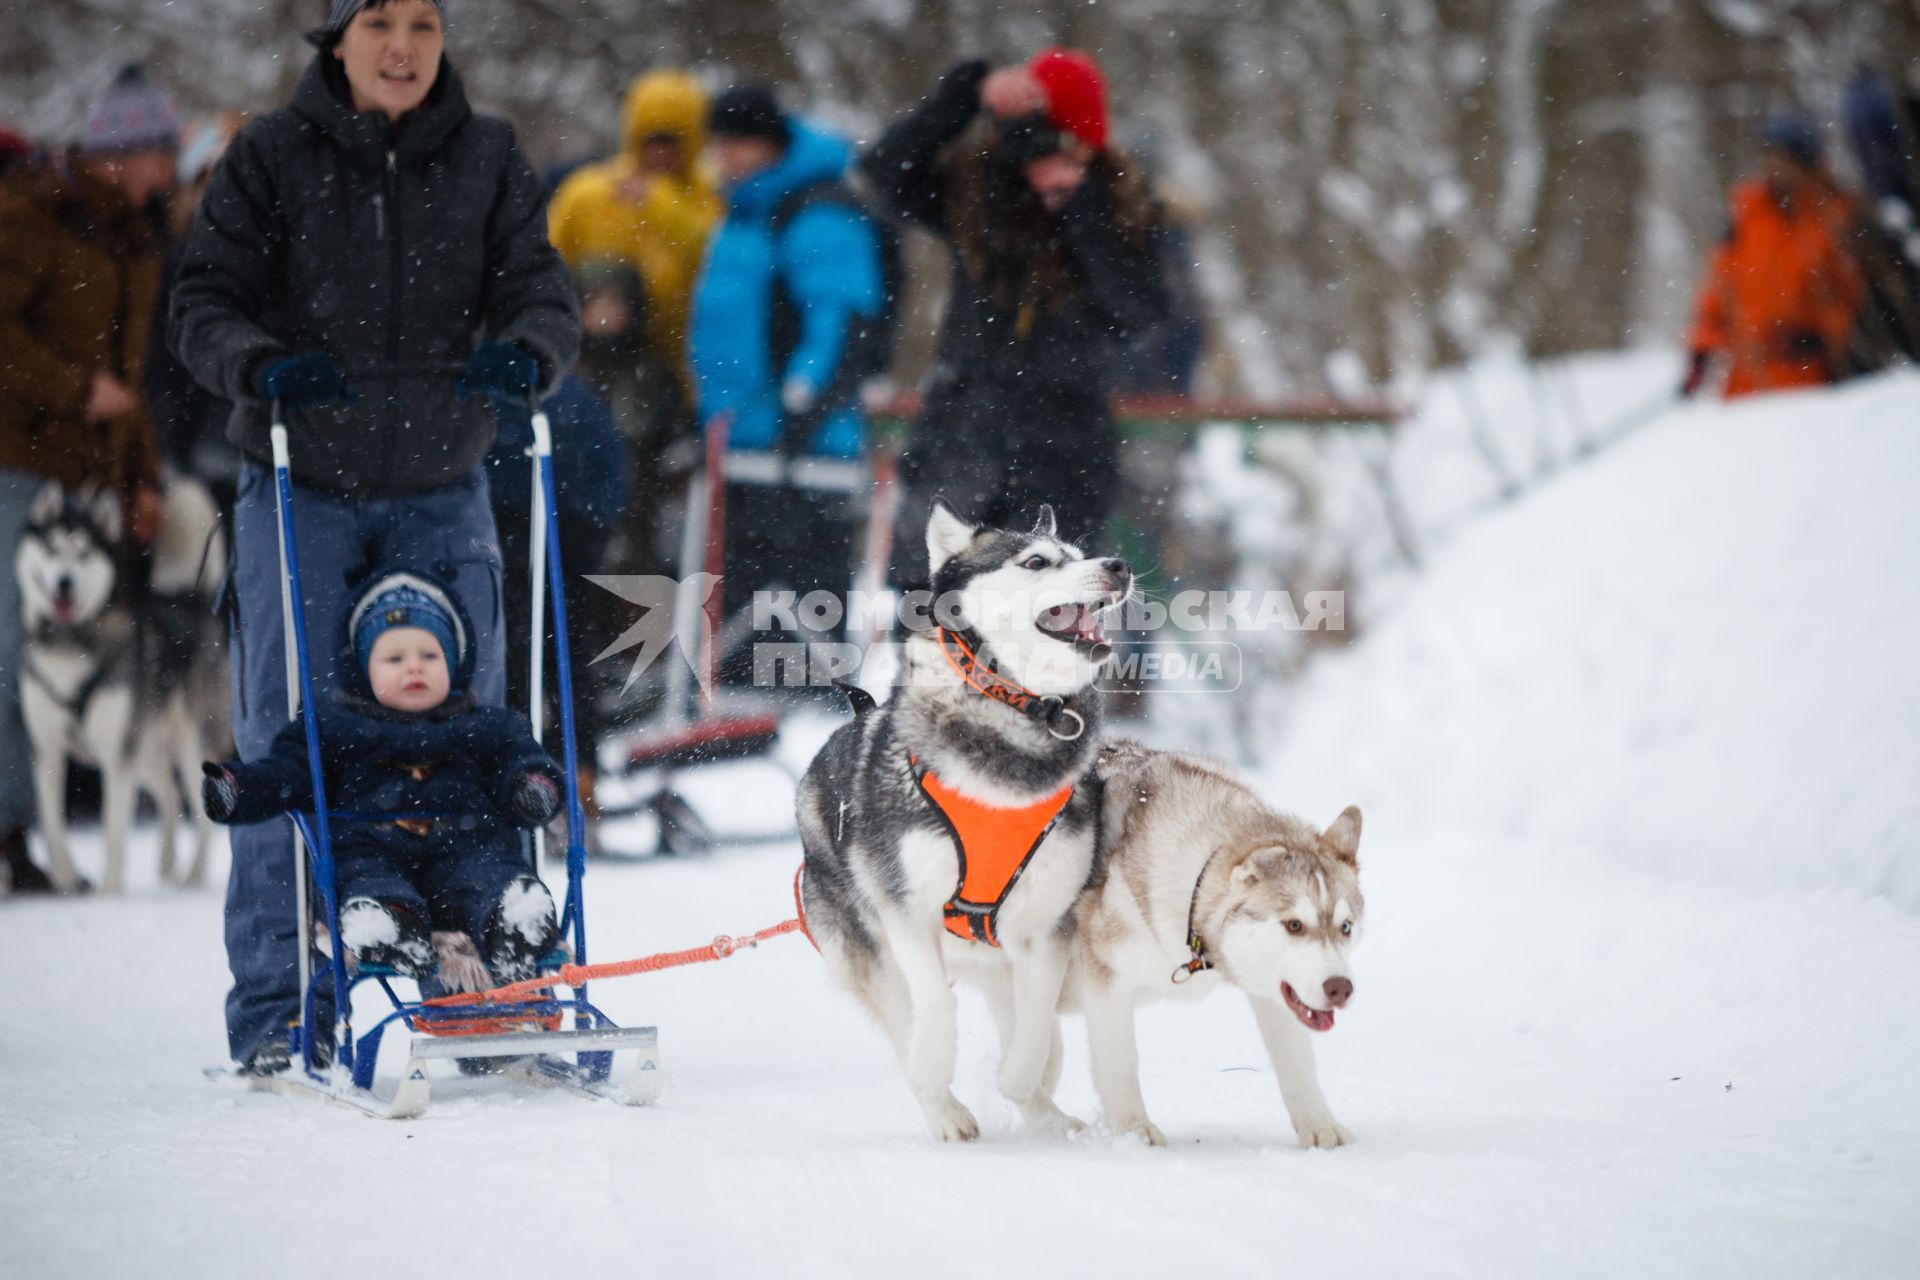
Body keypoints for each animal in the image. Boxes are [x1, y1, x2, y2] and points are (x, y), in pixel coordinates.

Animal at [13, 477, 230, 890]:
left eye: (84, 554)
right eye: (51, 549)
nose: (64, 582)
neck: (69, 643)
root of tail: (192, 597)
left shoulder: (116, 755)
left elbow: (114, 831)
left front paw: (108, 892)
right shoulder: (46, 748)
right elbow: (51, 823)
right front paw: (65, 876)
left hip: (189, 742)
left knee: (201, 814)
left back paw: (193, 877)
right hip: (145, 748)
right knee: (169, 796)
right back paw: (167, 866)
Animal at [791, 498, 1121, 1143]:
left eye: (1080, 553)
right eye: (1037, 562)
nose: (1117, 565)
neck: (1012, 713)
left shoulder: (1048, 926)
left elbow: (1036, 1027)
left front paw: (1021, 1082)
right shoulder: (907, 910)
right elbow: (934, 1011)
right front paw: (936, 1078)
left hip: (994, 958)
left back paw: (1047, 1111)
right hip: (866, 946)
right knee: (903, 1019)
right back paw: (941, 1105)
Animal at [1067, 740, 1367, 1151]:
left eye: (1345, 927)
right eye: (1293, 925)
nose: (1340, 988)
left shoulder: (1273, 991)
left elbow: (1297, 1064)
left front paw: (1319, 1124)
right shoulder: (1106, 974)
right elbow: (1120, 1061)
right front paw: (1132, 1129)